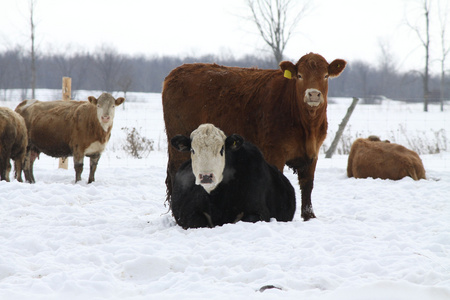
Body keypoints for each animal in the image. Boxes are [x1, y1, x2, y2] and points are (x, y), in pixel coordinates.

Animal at [163, 52, 346, 220]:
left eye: (325, 76)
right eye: (300, 75)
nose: (313, 94)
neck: (306, 125)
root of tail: (178, 70)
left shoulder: (313, 153)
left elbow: (308, 185)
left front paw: (309, 216)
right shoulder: (274, 152)